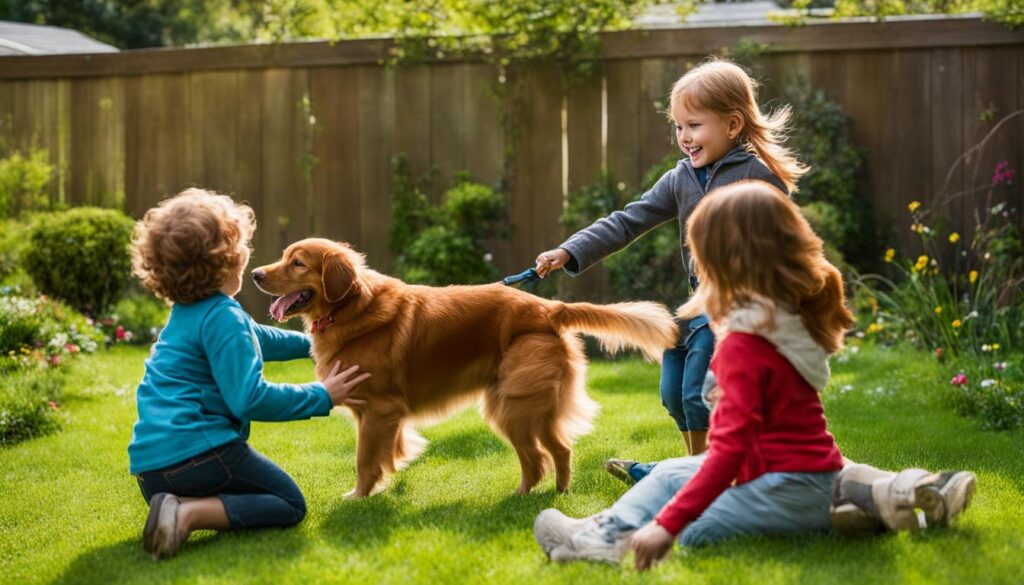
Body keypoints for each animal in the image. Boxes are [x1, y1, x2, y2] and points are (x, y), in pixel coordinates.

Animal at [250, 237, 675, 499]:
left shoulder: (379, 409)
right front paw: (388, 480)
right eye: (285, 257)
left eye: (298, 263)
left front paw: (358, 497)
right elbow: (387, 453)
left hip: (514, 405)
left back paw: (524, 498)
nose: (255, 274)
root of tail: (548, 308)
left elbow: (364, 459)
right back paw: (554, 493)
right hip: (520, 405)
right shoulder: (380, 414)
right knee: (558, 449)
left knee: (539, 456)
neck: (352, 308)